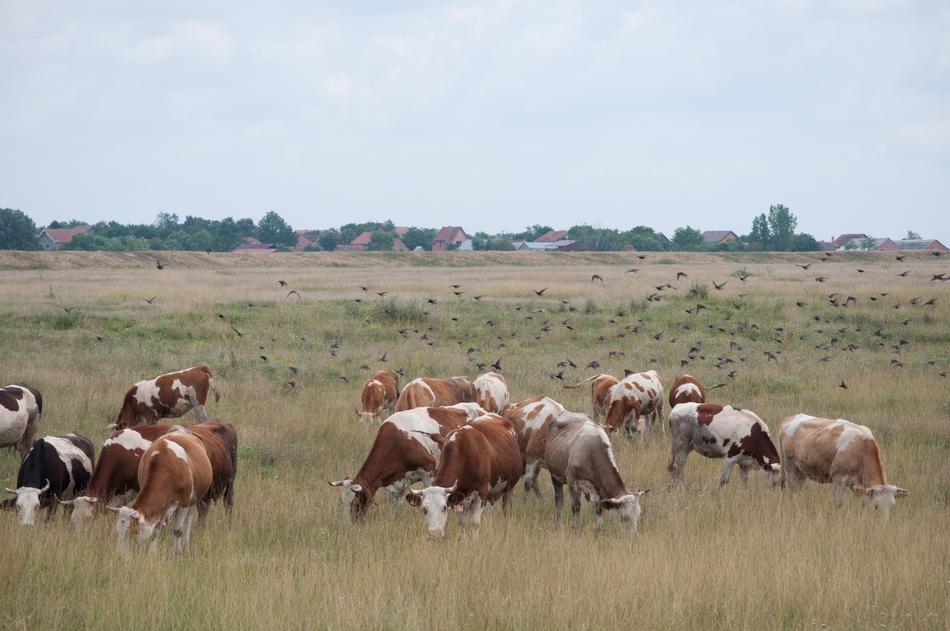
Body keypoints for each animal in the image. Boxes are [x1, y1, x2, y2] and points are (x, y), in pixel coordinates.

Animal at [330, 403, 486, 522]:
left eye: (355, 501)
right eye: (341, 501)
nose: (349, 524)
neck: (397, 441)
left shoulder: (429, 472)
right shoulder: (395, 483)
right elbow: (394, 508)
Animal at [778, 414, 909, 519]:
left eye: (892, 506)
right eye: (876, 506)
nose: (883, 523)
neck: (862, 449)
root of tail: (790, 418)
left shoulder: (858, 486)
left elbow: (863, 503)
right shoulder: (839, 478)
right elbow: (837, 503)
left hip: (801, 471)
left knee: (798, 491)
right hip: (789, 466)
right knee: (793, 492)